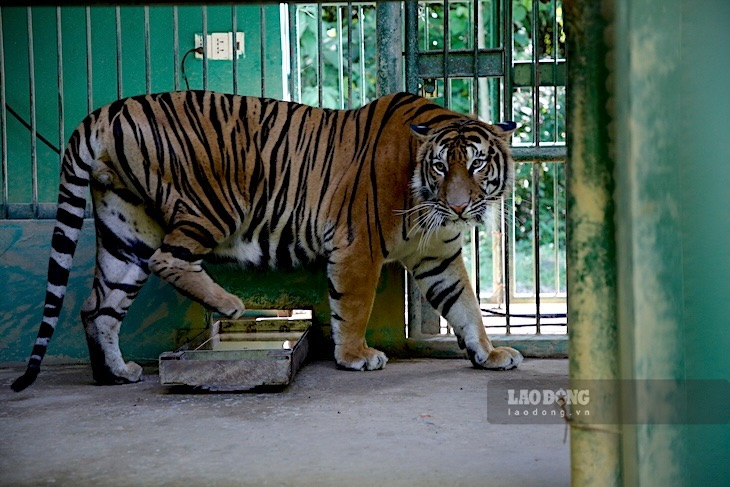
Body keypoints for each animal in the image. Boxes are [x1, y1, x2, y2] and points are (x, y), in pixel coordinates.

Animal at [11, 90, 523, 392]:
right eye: (440, 166)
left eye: (476, 164)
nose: (458, 207)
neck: (423, 196)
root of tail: (104, 111)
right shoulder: (357, 246)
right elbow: (353, 307)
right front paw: (355, 357)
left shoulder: (439, 256)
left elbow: (466, 307)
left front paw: (490, 354)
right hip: (210, 204)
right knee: (167, 261)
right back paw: (229, 305)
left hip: (125, 230)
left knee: (98, 307)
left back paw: (114, 374)